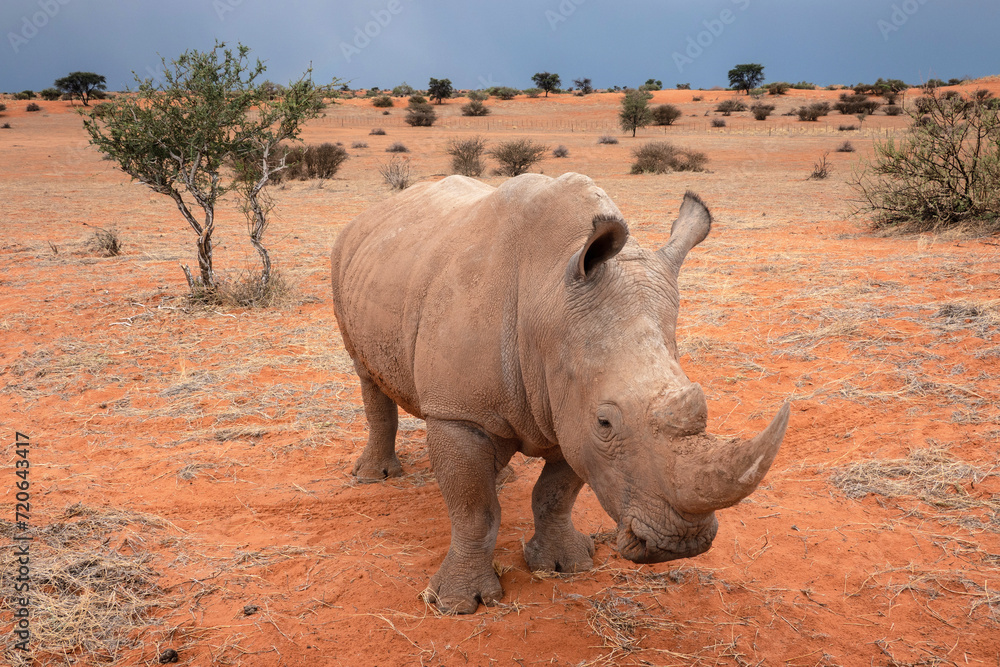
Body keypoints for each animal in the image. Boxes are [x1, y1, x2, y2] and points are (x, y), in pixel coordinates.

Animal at [330, 172, 789, 614]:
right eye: (605, 422)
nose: (680, 543)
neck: (548, 304)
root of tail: (371, 214)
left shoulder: (569, 407)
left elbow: (555, 495)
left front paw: (566, 565)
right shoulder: (458, 411)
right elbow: (473, 510)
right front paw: (458, 604)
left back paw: (501, 477)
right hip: (344, 256)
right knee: (366, 374)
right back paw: (373, 476)